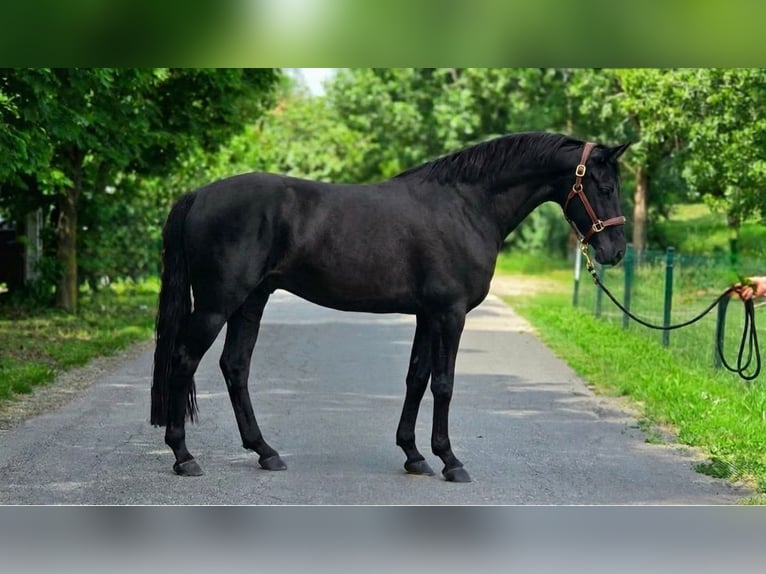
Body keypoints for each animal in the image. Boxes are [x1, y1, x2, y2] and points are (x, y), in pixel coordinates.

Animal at [151, 131, 630, 482]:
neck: (466, 206)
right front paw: (450, 461)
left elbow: (416, 379)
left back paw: (265, 452)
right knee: (184, 360)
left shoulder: (427, 314)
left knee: (235, 367)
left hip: (251, 302)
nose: (616, 251)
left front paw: (414, 455)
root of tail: (199, 195)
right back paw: (184, 455)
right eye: (604, 187)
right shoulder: (450, 314)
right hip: (216, 304)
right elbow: (443, 384)